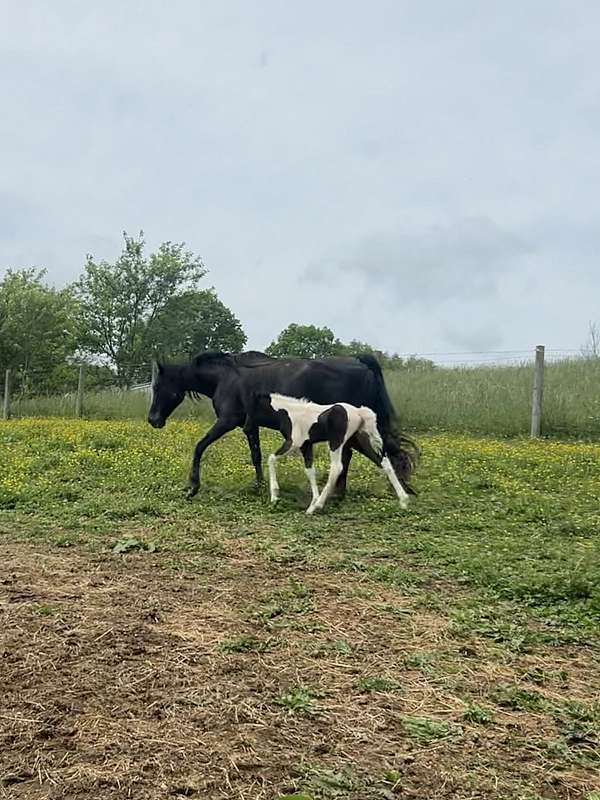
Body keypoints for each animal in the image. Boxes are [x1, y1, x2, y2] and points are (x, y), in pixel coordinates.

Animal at [149, 350, 418, 500]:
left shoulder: (227, 421)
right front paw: (258, 486)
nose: (153, 419)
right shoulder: (249, 426)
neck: (225, 377)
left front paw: (193, 486)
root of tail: (361, 363)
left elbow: (199, 447)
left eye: (158, 386)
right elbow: (256, 455)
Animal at [250, 392, 412, 512]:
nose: (247, 426)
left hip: (336, 442)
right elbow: (310, 470)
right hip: (358, 441)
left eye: (254, 407)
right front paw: (312, 502)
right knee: (383, 462)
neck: (291, 414)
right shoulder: (306, 445)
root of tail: (359, 412)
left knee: (337, 468)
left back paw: (318, 506)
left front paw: (275, 496)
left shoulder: (294, 443)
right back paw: (404, 500)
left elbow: (271, 458)